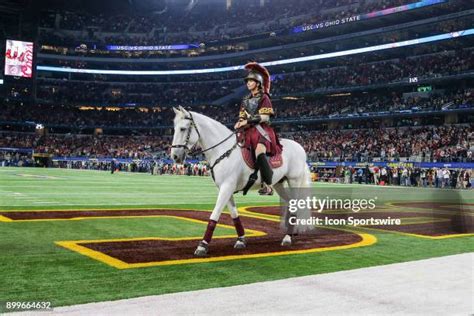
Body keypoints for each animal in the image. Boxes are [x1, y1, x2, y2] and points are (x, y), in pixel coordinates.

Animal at [170, 106, 312, 256]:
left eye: (183, 129)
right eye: (174, 129)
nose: (174, 156)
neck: (223, 151)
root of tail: (300, 147)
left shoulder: (227, 187)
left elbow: (215, 214)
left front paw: (202, 245)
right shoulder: (225, 188)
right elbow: (234, 215)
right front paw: (241, 239)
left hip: (294, 181)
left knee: (295, 203)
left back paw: (288, 237)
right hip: (279, 183)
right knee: (290, 203)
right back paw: (291, 232)